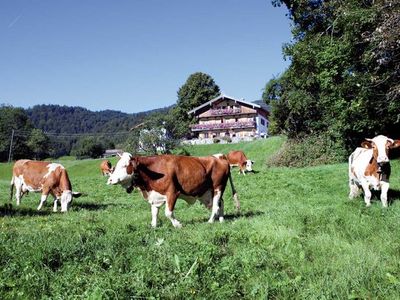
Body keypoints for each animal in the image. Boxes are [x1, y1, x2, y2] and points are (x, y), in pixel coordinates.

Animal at [106, 152, 239, 227]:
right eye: (115, 166)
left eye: (124, 166)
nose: (110, 180)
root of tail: (219, 157)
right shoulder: (155, 196)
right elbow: (154, 212)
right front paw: (153, 226)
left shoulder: (172, 193)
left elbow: (168, 213)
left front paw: (177, 224)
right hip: (207, 192)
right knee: (220, 203)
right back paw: (221, 220)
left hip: (218, 187)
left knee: (216, 206)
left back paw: (210, 221)